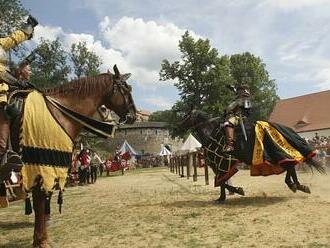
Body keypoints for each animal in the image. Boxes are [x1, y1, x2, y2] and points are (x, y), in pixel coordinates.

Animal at [8, 64, 137, 248]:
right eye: (125, 89)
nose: (134, 115)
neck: (58, 114)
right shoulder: (40, 164)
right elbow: (40, 200)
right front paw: (41, 240)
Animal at [179, 110, 324, 203]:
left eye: (186, 116)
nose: (178, 126)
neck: (210, 133)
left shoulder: (222, 162)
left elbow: (221, 181)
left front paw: (235, 191)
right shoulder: (217, 165)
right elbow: (221, 181)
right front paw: (224, 197)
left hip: (276, 153)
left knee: (289, 166)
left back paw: (295, 185)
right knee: (290, 166)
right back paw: (298, 186)